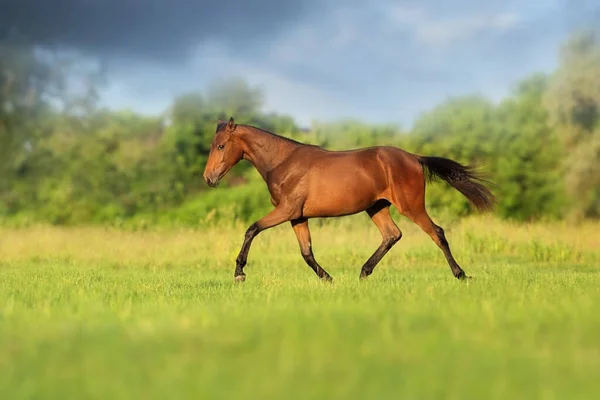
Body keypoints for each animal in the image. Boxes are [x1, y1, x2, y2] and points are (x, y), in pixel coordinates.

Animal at [204, 117, 494, 282]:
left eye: (221, 146)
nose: (209, 178)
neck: (283, 162)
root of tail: (413, 157)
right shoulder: (298, 216)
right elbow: (306, 252)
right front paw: (328, 278)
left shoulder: (286, 211)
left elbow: (251, 229)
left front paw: (239, 273)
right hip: (376, 207)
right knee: (392, 235)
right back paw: (364, 272)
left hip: (410, 206)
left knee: (437, 232)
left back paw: (460, 274)